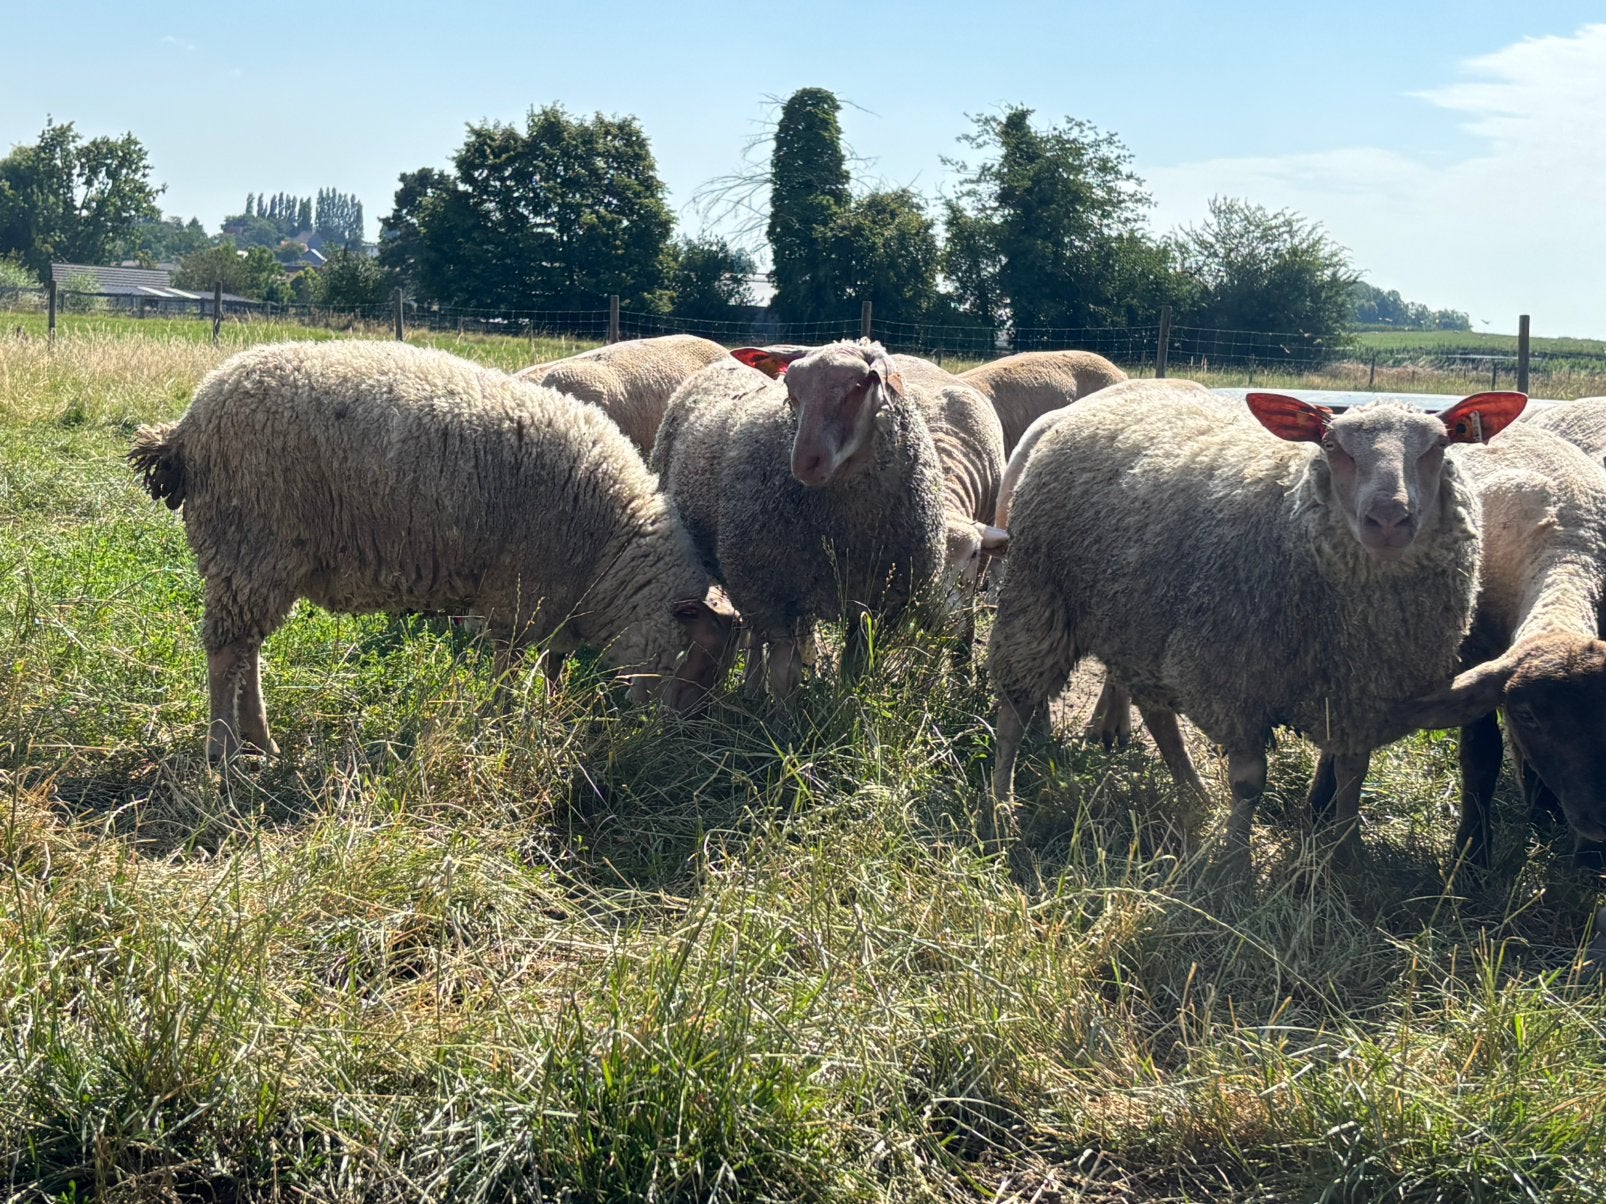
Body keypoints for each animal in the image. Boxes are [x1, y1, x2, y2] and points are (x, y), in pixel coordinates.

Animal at [651, 339, 947, 702]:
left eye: (860, 386)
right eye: (791, 389)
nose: (806, 461)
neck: (845, 530)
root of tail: (717, 365)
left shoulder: (879, 604)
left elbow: (856, 673)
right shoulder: (774, 595)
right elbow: (784, 676)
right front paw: (781, 714)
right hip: (750, 576)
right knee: (755, 635)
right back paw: (752, 689)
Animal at [986, 379, 1528, 866]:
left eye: (1439, 445)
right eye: (1332, 445)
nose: (1389, 519)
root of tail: (1081, 409)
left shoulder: (1361, 697)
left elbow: (1352, 772)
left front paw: (1346, 856)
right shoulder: (1235, 683)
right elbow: (1249, 782)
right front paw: (1236, 863)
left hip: (1140, 620)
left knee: (1155, 712)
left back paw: (1192, 792)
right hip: (1039, 596)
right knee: (1015, 706)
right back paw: (1001, 806)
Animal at [1387, 422, 1606, 867]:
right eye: (1527, 715)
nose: (1598, 820)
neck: (1570, 558)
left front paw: (1591, 862)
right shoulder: (1475, 657)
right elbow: (1482, 756)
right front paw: (1471, 857)